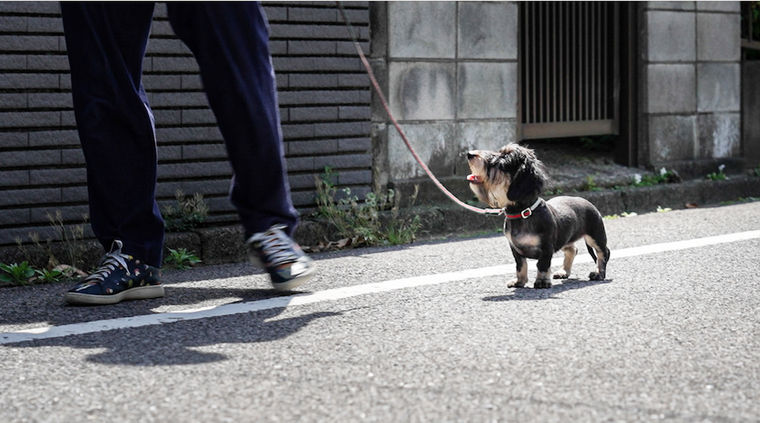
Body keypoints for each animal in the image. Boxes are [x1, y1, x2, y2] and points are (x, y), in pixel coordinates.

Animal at [466, 144, 608, 290]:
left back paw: (598, 273)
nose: (470, 154)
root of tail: (587, 202)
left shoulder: (546, 247)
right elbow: (521, 266)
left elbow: (542, 265)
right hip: (564, 239)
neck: (523, 212)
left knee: (603, 253)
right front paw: (519, 281)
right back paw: (564, 272)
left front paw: (542, 281)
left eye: (502, 161)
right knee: (572, 250)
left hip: (595, 236)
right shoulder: (515, 249)